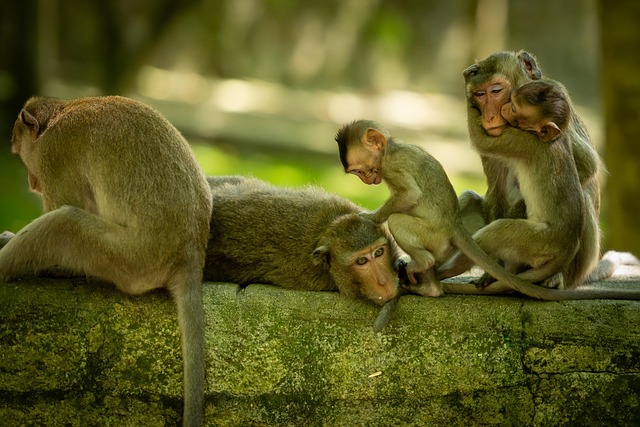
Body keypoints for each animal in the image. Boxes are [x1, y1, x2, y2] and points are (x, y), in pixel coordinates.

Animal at [0, 96, 212, 427]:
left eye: (22, 156)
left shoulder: (55, 153)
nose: (32, 183)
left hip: (130, 259)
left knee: (64, 222)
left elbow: (66, 203)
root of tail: (190, 251)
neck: (61, 114)